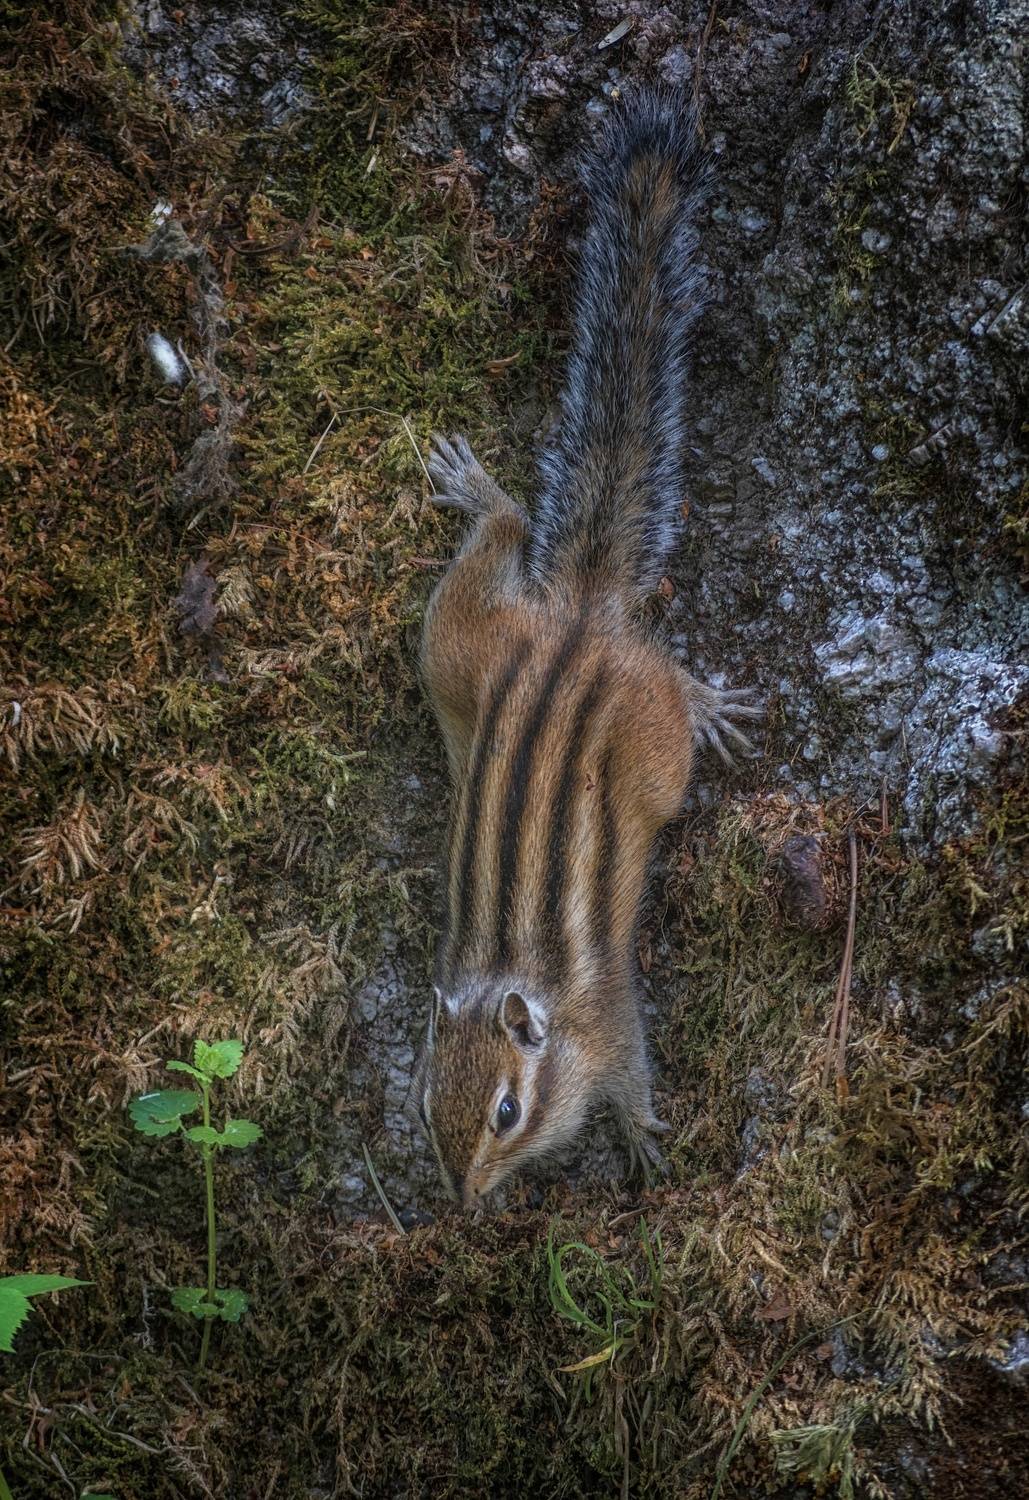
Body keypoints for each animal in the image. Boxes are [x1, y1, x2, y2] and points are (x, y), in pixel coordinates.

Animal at [412, 90, 759, 1208]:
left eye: (505, 1112)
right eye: (423, 1106)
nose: (463, 1203)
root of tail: (574, 620)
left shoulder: (612, 1020)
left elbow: (637, 1070)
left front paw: (641, 1135)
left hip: (647, 745)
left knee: (658, 678)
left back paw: (705, 700)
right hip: (455, 654)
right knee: (499, 546)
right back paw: (478, 491)